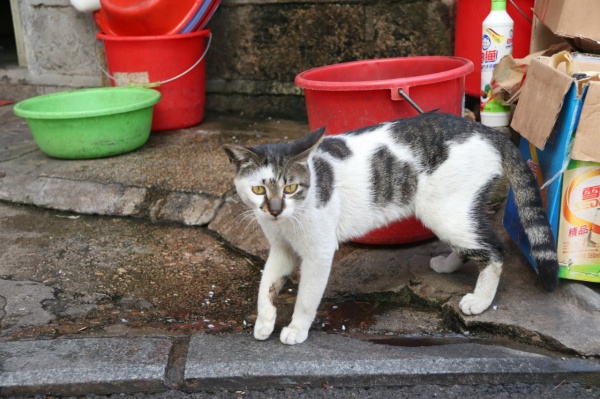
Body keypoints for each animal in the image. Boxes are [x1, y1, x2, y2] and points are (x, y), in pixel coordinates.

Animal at [223, 112, 560, 346]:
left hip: (445, 213)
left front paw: (295, 329)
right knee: (472, 243)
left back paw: (479, 301)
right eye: (258, 189)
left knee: (496, 251)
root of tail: (486, 131)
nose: (275, 209)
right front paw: (264, 322)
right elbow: (266, 285)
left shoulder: (319, 251)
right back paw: (448, 264)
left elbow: (307, 296)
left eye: (290, 187)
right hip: (453, 213)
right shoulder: (281, 248)